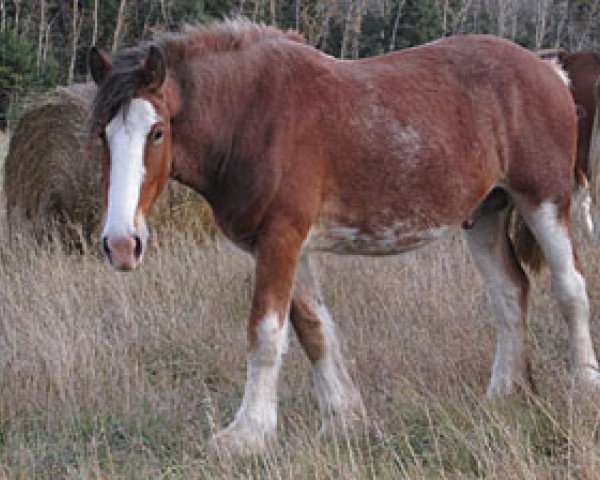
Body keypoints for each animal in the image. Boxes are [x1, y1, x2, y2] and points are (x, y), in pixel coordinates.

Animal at [88, 19, 600, 454]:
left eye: (157, 132)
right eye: (101, 135)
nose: (121, 244)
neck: (253, 115)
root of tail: (549, 70)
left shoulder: (281, 237)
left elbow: (266, 333)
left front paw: (248, 433)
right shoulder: (283, 243)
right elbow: (314, 329)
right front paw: (343, 419)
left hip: (545, 200)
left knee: (570, 287)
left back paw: (584, 386)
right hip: (485, 214)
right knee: (509, 293)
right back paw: (504, 394)